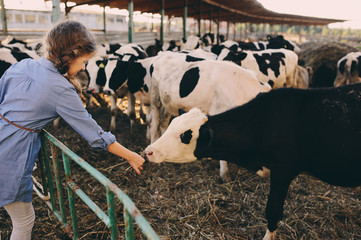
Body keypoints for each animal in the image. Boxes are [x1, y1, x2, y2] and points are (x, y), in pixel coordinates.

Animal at [145, 83, 360, 240]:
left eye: (185, 135)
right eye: (172, 125)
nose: (149, 151)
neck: (264, 123)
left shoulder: (282, 171)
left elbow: (273, 211)